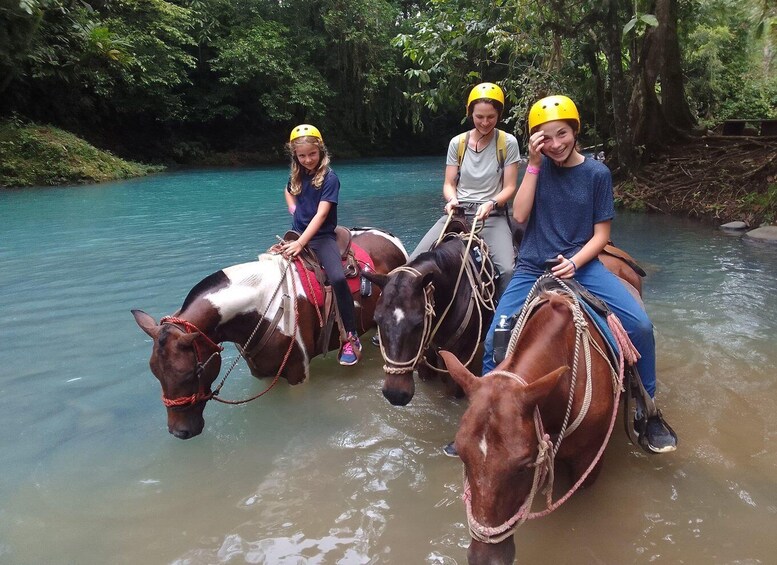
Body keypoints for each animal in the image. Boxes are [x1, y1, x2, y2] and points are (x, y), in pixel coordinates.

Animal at [132, 227, 406, 438]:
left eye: (192, 373)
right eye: (156, 373)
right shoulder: (261, 371)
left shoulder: (298, 373)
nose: (180, 432)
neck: (261, 306)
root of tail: (390, 238)